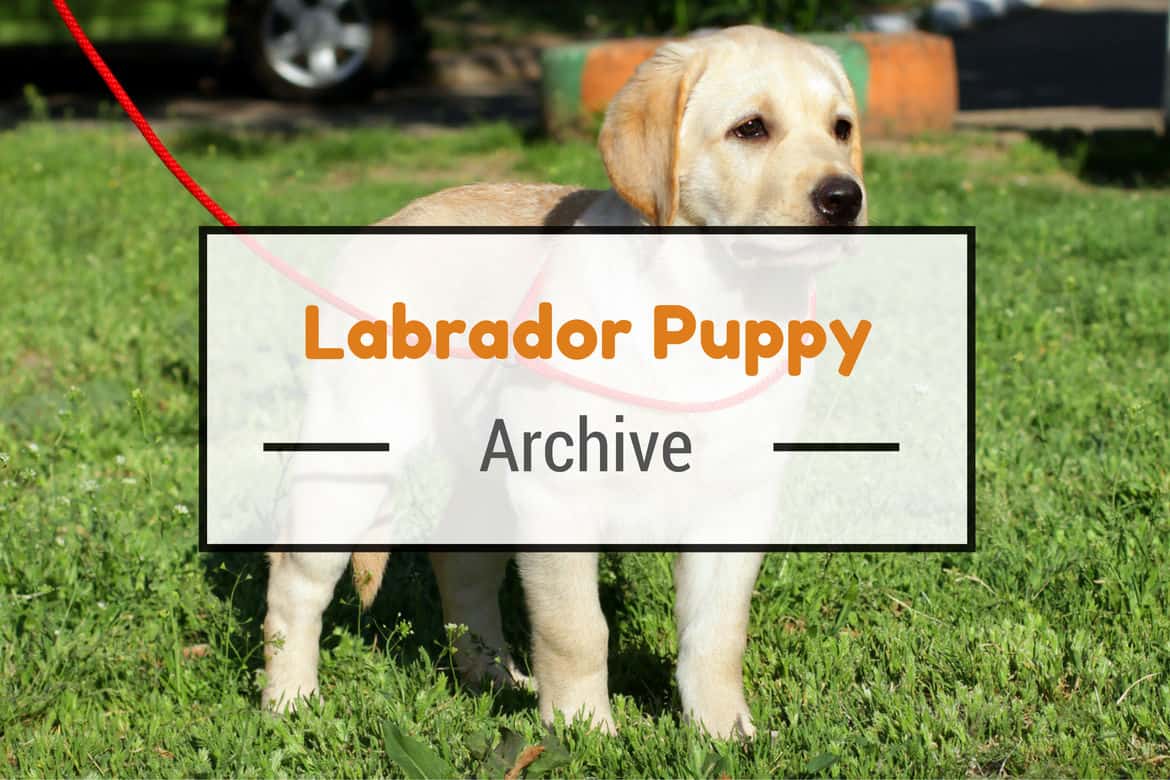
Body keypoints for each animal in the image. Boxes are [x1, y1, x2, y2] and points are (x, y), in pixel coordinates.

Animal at [260, 24, 865, 743]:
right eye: (751, 129)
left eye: (841, 128)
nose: (845, 198)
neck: (712, 304)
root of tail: (387, 223)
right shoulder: (556, 491)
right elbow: (576, 628)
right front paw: (583, 732)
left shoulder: (738, 497)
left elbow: (718, 631)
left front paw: (724, 733)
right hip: (354, 449)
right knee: (294, 579)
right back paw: (289, 700)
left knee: (456, 559)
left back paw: (491, 676)